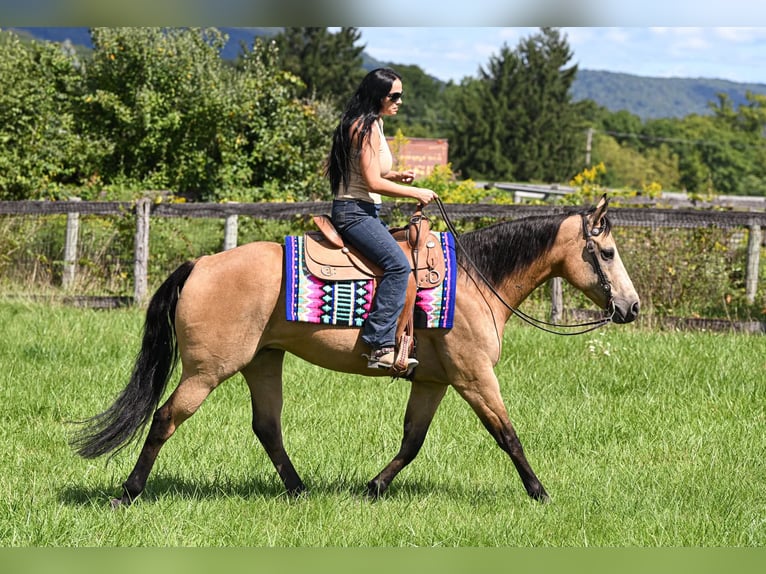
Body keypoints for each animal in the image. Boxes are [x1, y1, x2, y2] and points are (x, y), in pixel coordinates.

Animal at [71, 194, 639, 507]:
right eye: (608, 252)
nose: (631, 307)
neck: (478, 281)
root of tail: (201, 264)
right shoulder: (474, 376)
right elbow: (507, 434)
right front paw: (540, 492)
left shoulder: (433, 381)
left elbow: (412, 442)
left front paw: (373, 487)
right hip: (206, 371)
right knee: (166, 418)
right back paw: (128, 493)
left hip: (262, 362)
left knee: (267, 427)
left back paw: (299, 491)